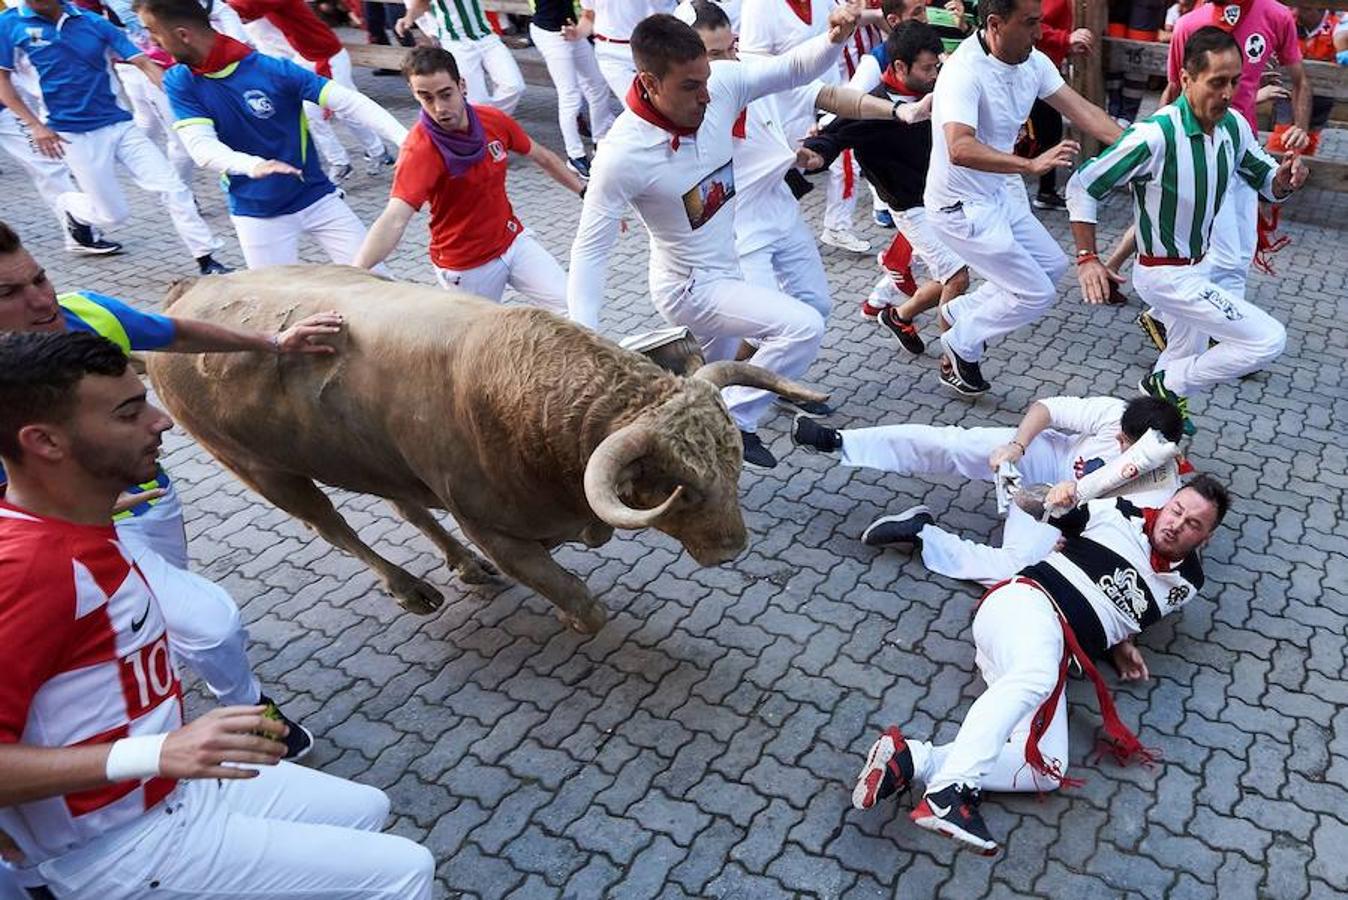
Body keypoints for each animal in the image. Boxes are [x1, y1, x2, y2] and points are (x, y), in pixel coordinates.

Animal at [144, 266, 819, 633]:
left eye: (735, 464)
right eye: (682, 489)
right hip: (263, 472)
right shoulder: (492, 527)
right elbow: (578, 598)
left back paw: (463, 567)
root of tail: (184, 295)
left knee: (406, 506)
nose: (733, 547)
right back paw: (410, 588)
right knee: (333, 527)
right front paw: (574, 616)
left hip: (377, 460)